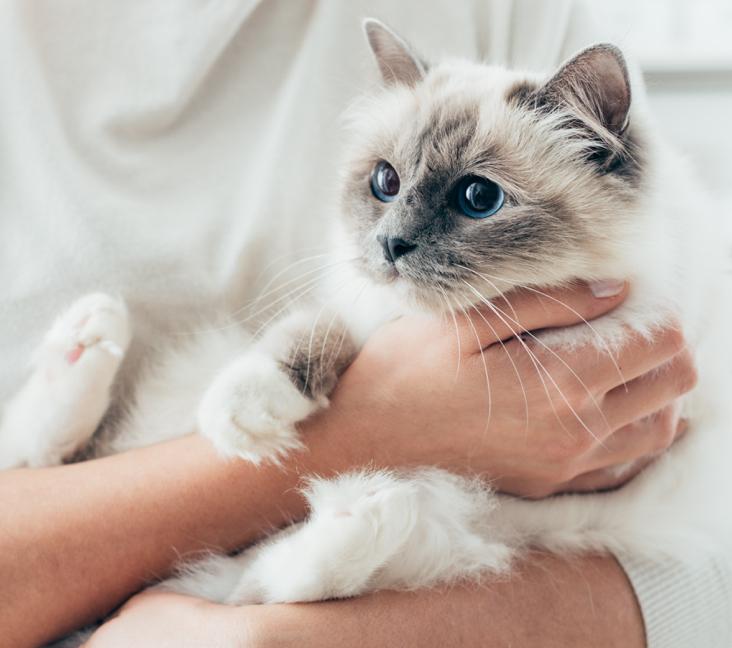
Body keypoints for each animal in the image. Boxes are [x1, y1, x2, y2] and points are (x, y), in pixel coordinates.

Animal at [2, 16, 728, 636]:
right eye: (385, 182)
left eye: (478, 198)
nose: (390, 245)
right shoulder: (361, 307)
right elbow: (310, 335)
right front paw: (246, 413)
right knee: (48, 454)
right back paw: (89, 337)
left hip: (482, 534)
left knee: (277, 581)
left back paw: (366, 511)